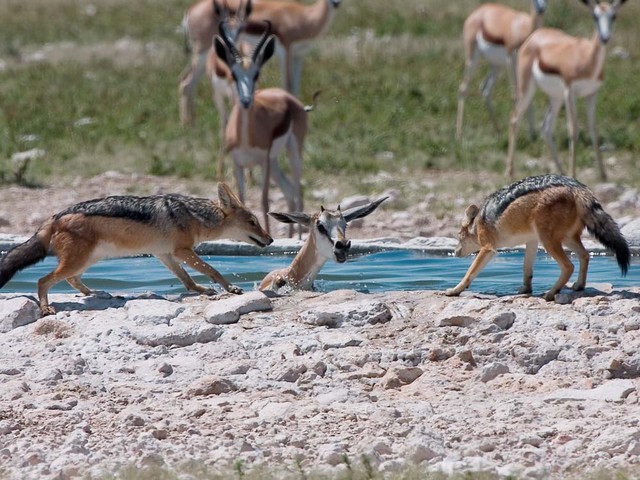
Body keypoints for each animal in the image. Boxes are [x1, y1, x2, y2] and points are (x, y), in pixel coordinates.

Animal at [215, 21, 316, 237]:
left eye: (256, 74)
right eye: (234, 74)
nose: (246, 101)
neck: (246, 137)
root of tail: (287, 96)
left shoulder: (263, 162)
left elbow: (264, 202)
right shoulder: (237, 163)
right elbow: (242, 200)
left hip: (292, 153)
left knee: (298, 190)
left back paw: (298, 237)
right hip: (275, 161)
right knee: (289, 192)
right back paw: (291, 235)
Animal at [452, 0, 548, 141]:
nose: (541, 9)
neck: (525, 27)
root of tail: (478, 12)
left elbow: (527, 97)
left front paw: (533, 135)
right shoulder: (510, 60)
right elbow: (516, 95)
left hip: (497, 66)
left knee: (485, 89)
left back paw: (497, 131)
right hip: (473, 58)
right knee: (463, 88)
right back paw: (459, 134)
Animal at [504, 0, 624, 181]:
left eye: (613, 16)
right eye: (595, 16)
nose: (605, 38)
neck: (586, 58)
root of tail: (536, 35)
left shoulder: (592, 94)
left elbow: (593, 129)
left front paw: (603, 175)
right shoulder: (570, 92)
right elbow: (573, 129)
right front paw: (574, 172)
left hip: (556, 97)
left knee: (546, 127)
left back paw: (561, 172)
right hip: (528, 90)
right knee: (514, 118)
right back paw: (510, 171)